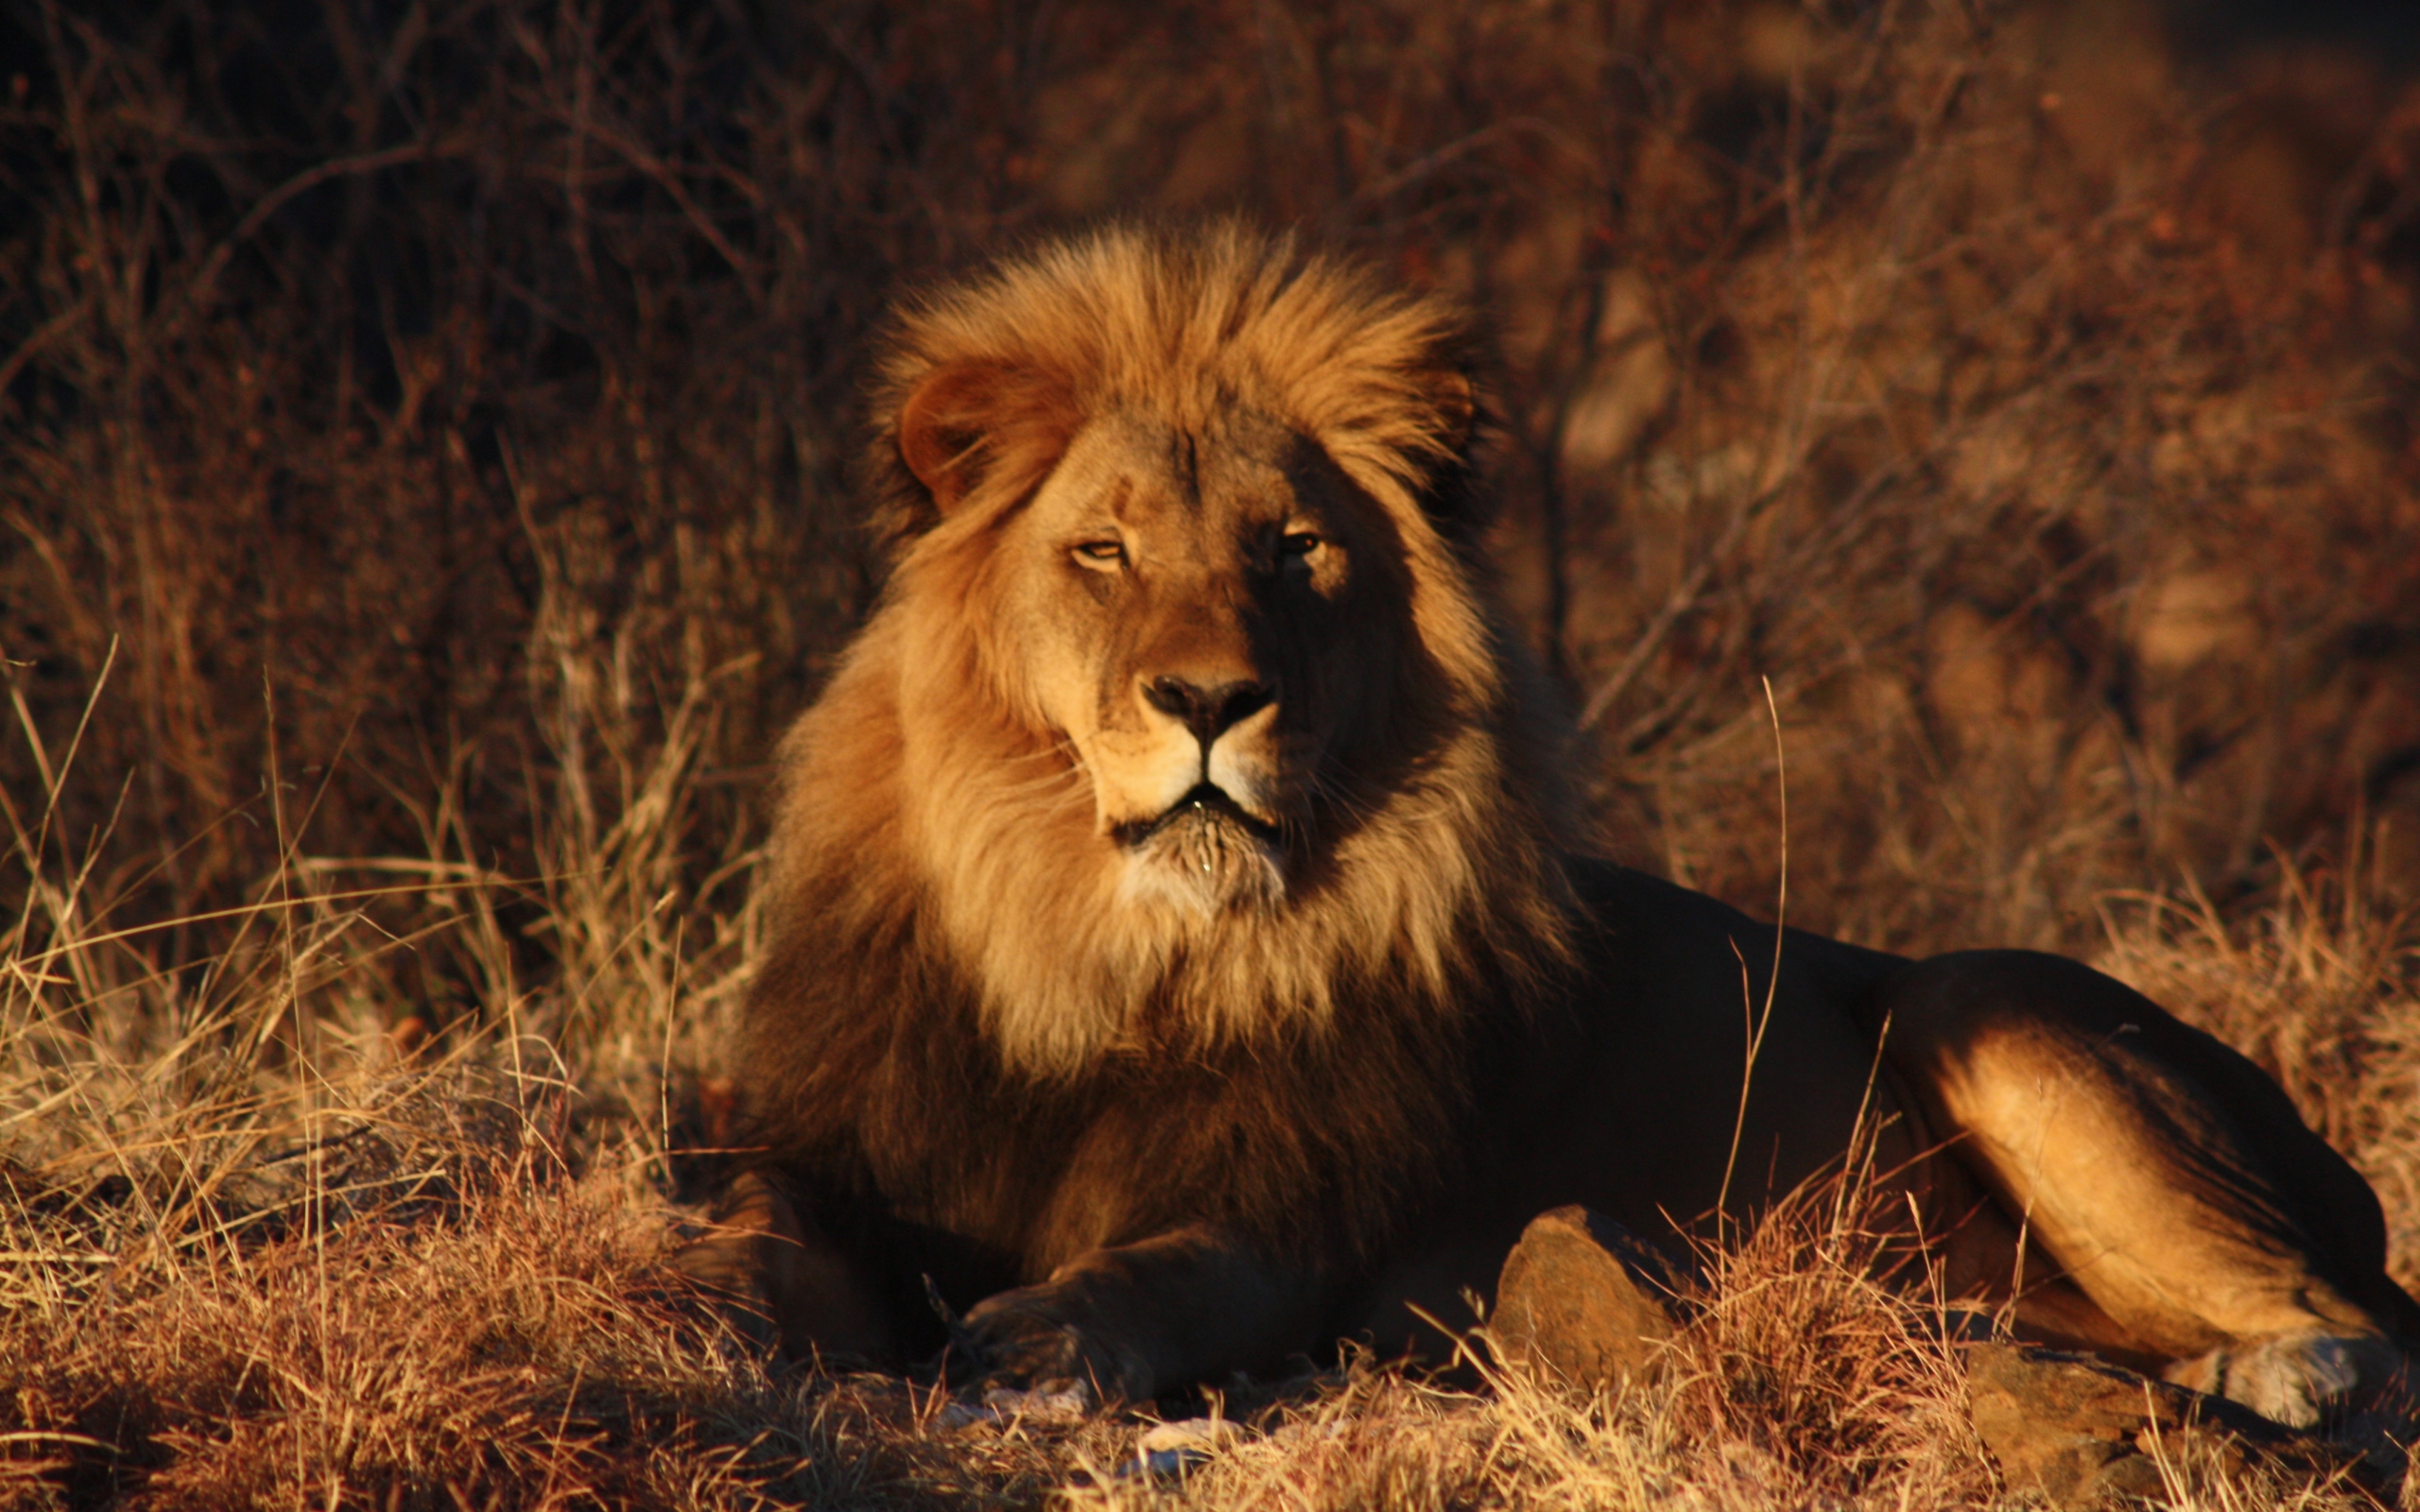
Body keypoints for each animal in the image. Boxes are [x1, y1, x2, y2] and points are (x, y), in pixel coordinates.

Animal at [711, 217, 2420, 1422]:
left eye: (1292, 548)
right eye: (1104, 552)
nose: (1209, 700)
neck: (1103, 955)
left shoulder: (1291, 1221)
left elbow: (1159, 1273)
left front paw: (1034, 1341)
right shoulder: (847, 1144)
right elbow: (751, 1217)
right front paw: (688, 1296)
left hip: (1977, 1003)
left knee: (2352, 1329)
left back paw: (2269, 1379)